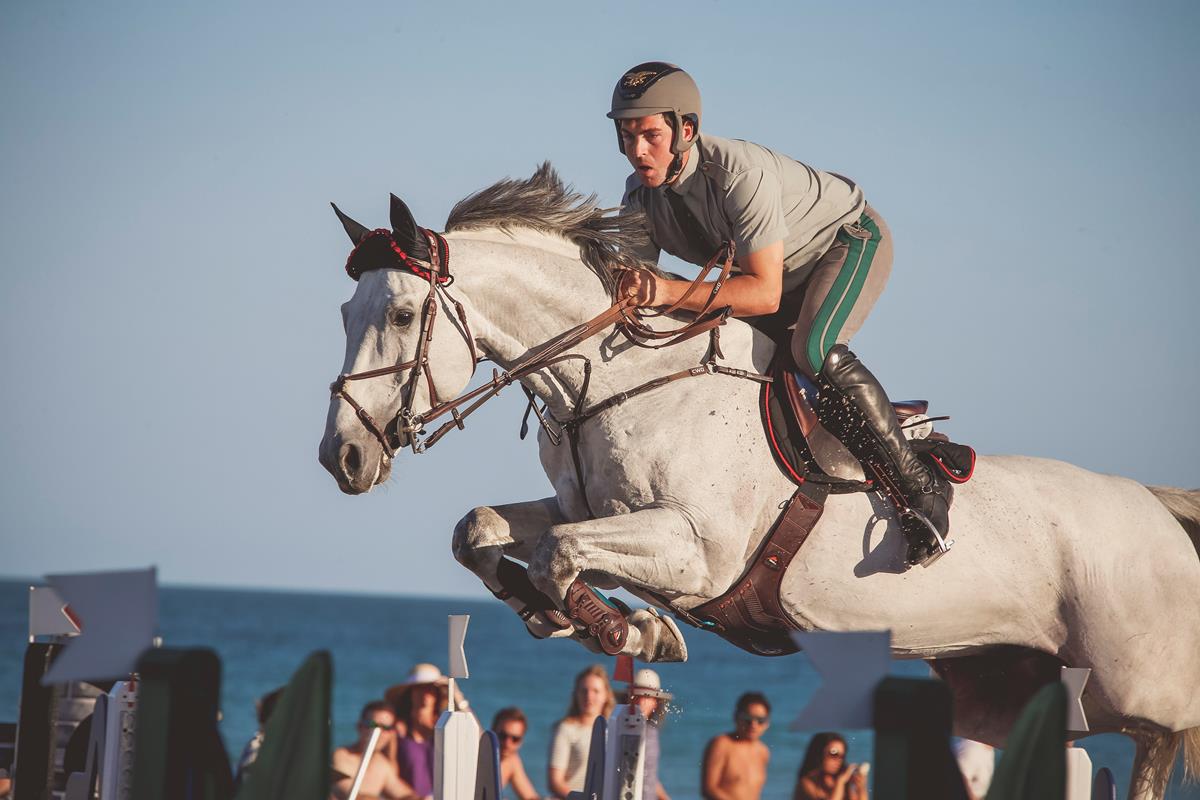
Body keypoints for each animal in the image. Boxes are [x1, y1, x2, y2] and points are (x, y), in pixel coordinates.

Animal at [316, 165, 1200, 796]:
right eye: (345, 314)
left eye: (400, 315)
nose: (342, 459)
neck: (613, 380)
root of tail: (1158, 510)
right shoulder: (587, 509)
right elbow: (483, 530)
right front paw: (566, 615)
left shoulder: (696, 551)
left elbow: (560, 552)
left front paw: (634, 631)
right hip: (1015, 698)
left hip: (1144, 697)